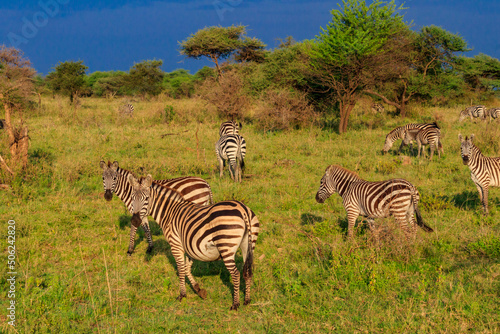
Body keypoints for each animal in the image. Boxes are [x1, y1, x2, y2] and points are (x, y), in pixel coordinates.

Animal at [127, 175, 260, 310]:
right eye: (132, 197)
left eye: (146, 198)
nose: (135, 220)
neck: (169, 213)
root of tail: (243, 210)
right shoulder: (189, 245)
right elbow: (186, 268)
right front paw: (199, 290)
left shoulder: (176, 245)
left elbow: (181, 269)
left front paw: (182, 295)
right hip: (248, 245)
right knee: (248, 271)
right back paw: (247, 300)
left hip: (226, 245)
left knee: (236, 274)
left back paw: (235, 304)